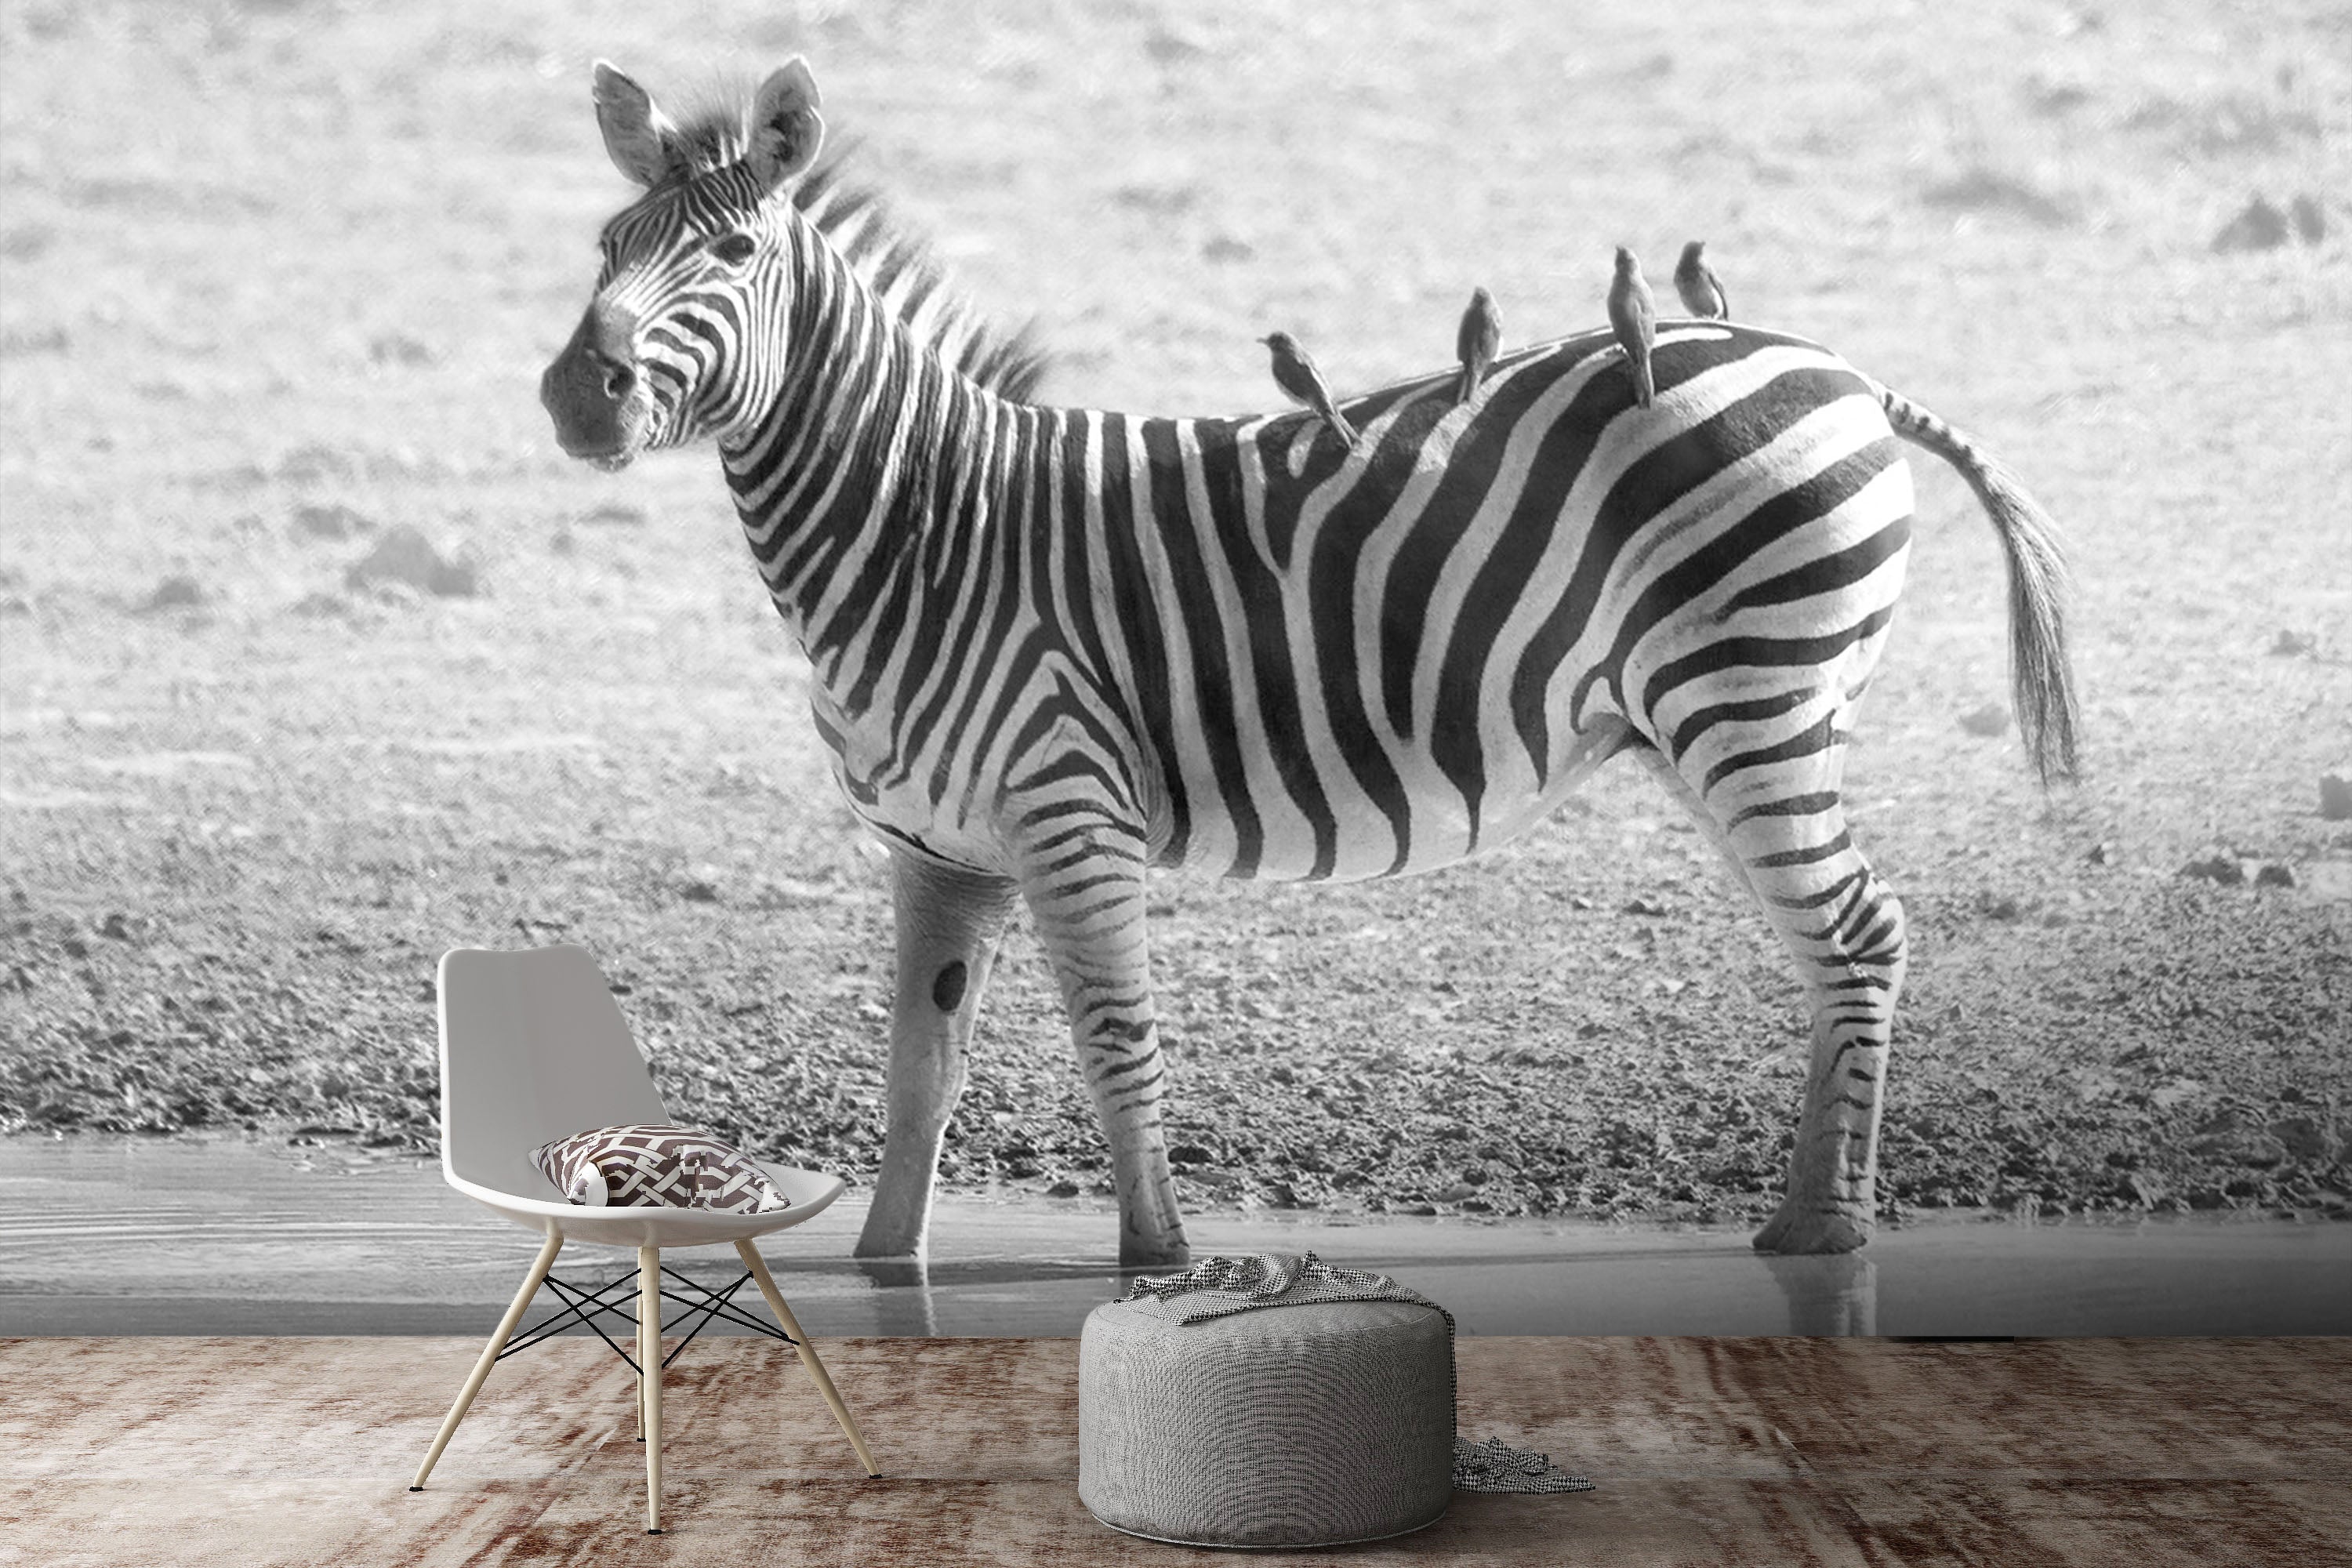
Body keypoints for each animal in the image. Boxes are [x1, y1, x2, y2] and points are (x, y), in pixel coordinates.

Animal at [539, 59, 2079, 1267]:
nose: (574, 394)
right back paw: (1811, 1222)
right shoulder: (937, 851)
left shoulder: (1069, 812)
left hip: (1754, 699)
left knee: (1861, 931)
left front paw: (1156, 1255)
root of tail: (1842, 370)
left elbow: (1114, 1035)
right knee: (1838, 941)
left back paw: (1827, 1231)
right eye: (608, 241)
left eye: (735, 260)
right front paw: (884, 1267)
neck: (927, 524)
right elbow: (921, 1070)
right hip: (1730, 717)